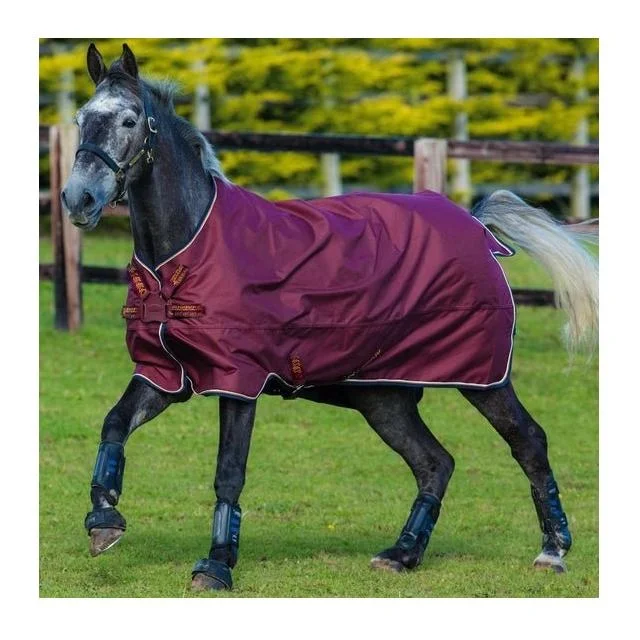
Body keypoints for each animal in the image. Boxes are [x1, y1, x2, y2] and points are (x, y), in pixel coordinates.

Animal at [60, 43, 598, 592]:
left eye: (129, 120)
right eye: (81, 118)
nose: (78, 199)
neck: (189, 250)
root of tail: (475, 223)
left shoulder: (239, 380)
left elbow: (229, 471)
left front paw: (216, 565)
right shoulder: (164, 373)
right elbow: (114, 422)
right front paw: (103, 523)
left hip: (482, 377)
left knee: (528, 441)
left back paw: (552, 551)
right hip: (384, 397)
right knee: (435, 463)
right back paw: (402, 554)